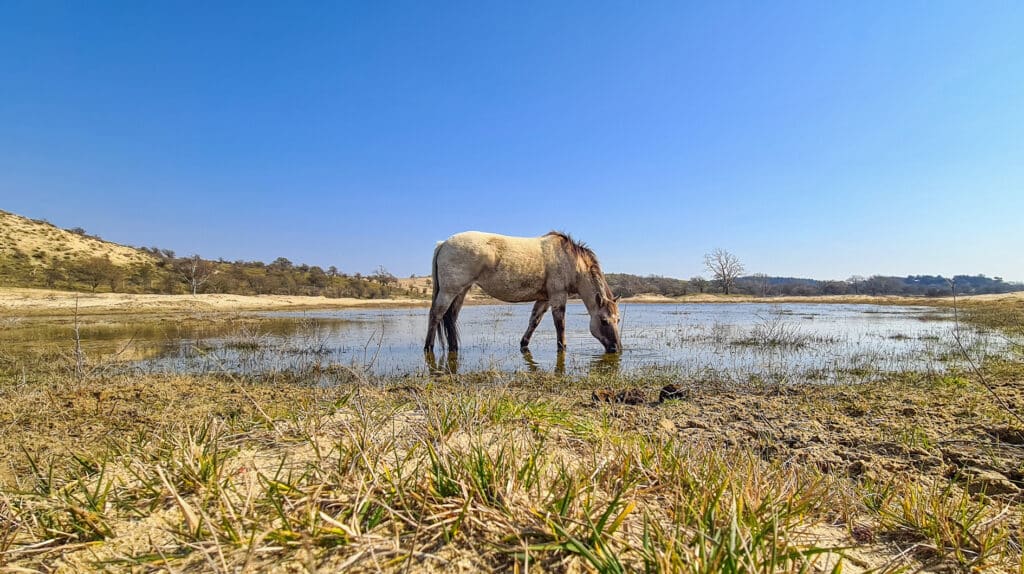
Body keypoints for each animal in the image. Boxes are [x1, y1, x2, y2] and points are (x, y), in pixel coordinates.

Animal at [424, 231, 622, 354]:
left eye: (618, 320)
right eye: (604, 320)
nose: (617, 348)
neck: (571, 260)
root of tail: (443, 244)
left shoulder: (544, 299)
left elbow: (534, 321)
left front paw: (524, 344)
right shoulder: (558, 295)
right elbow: (560, 324)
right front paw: (562, 348)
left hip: (461, 291)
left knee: (451, 317)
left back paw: (454, 348)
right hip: (450, 291)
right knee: (436, 314)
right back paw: (428, 347)